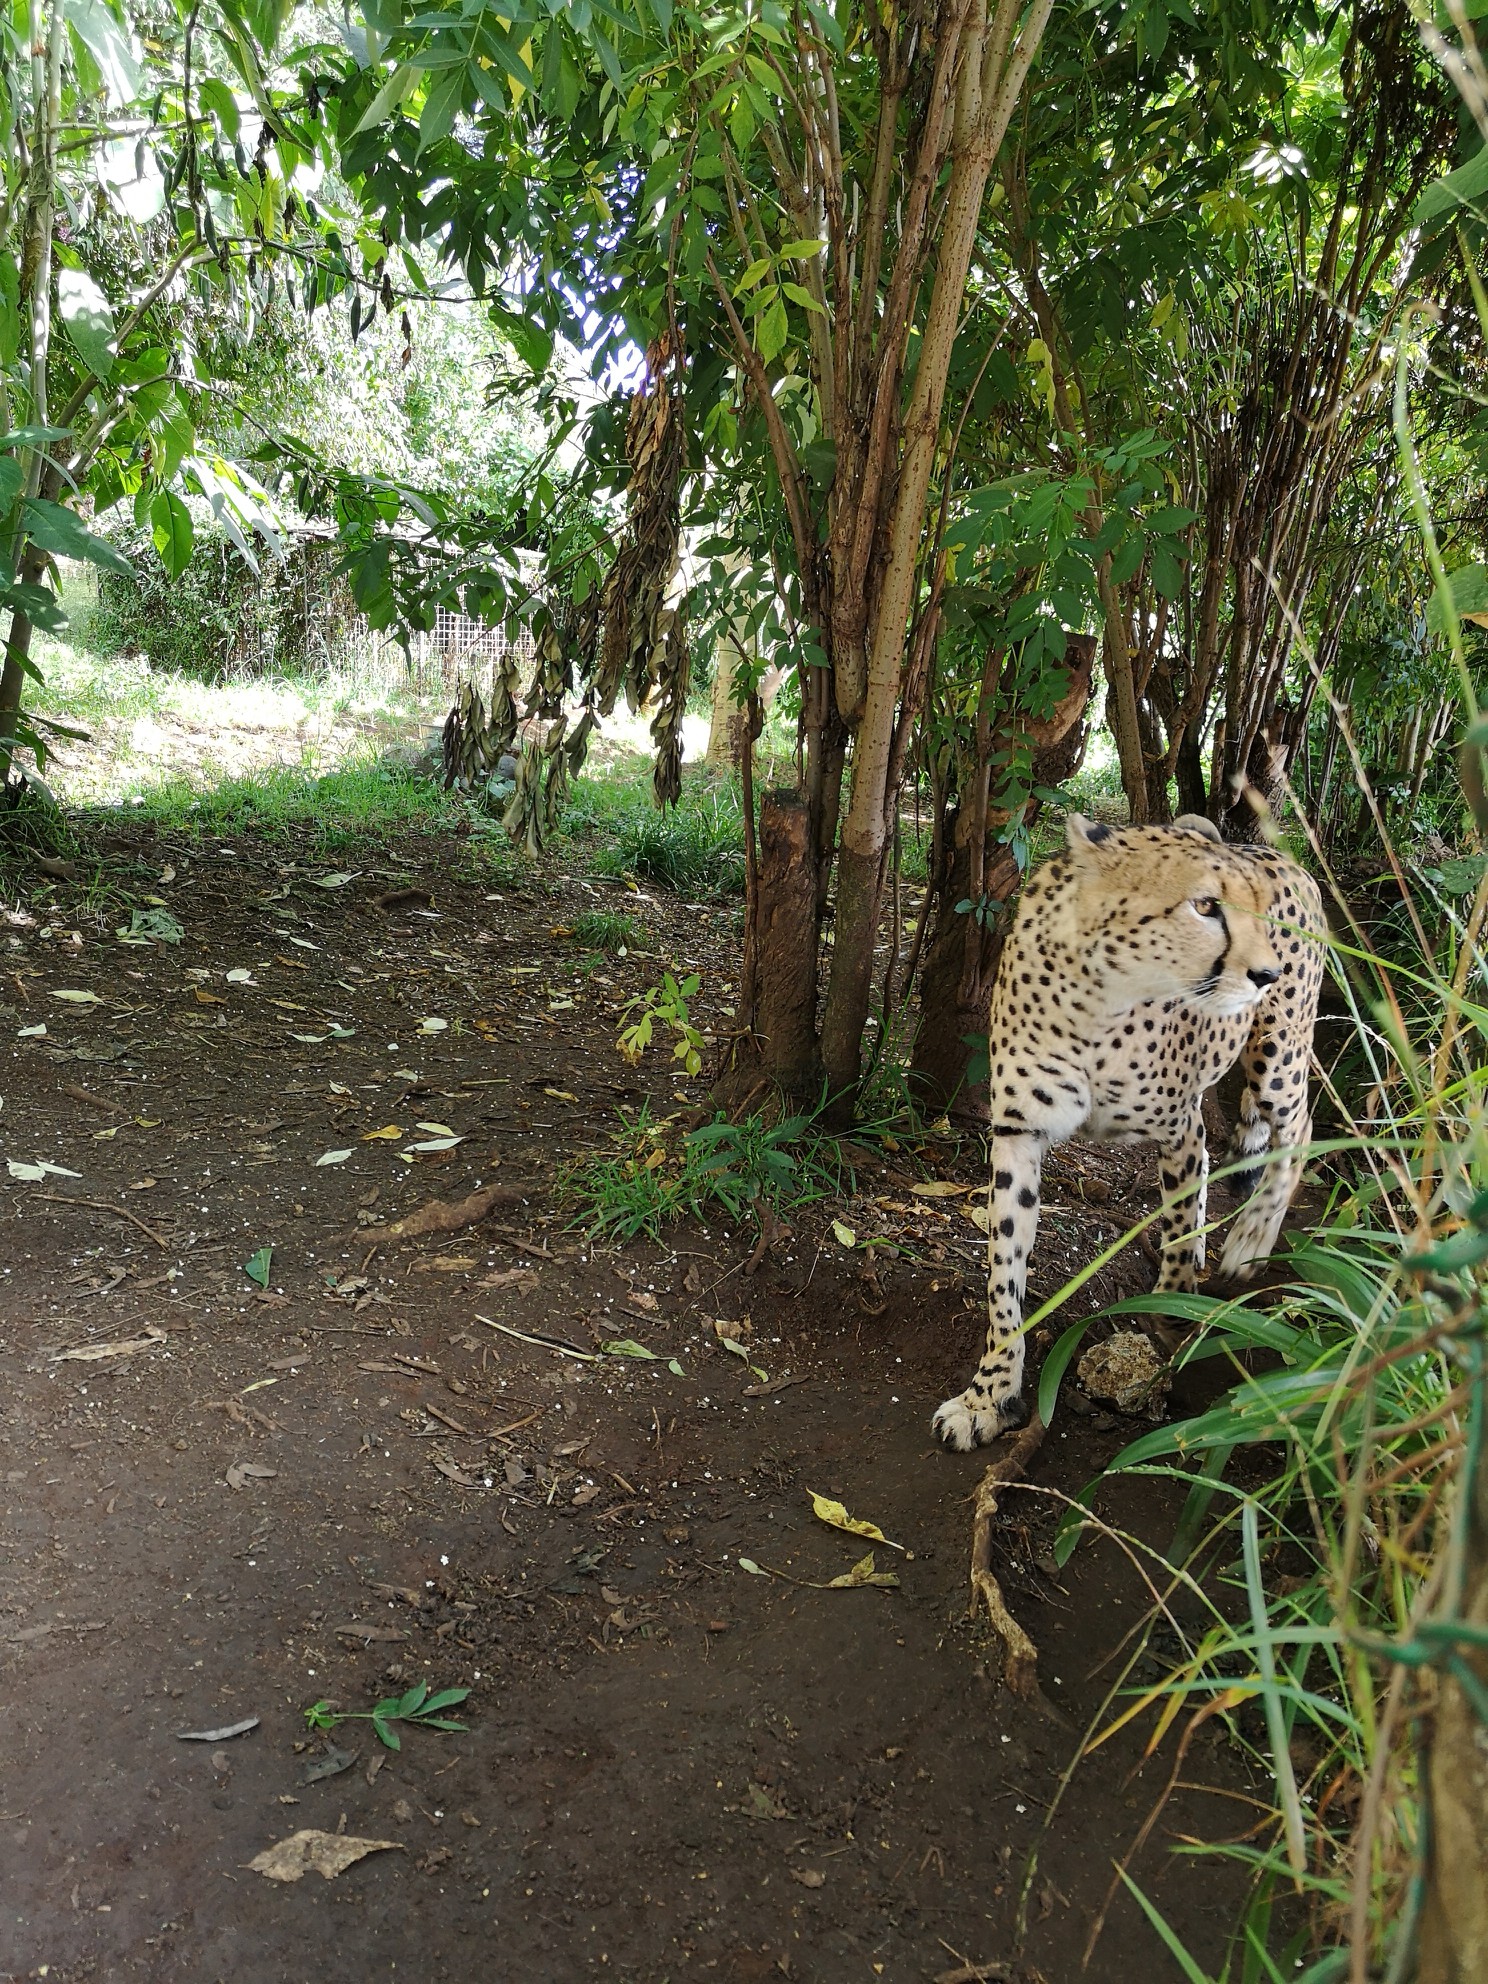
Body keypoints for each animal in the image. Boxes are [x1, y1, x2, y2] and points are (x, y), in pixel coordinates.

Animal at [936, 813, 1333, 1452]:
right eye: (1205, 905)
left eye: (1258, 911)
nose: (1266, 972)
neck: (1096, 999)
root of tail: (1285, 858)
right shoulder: (1018, 1136)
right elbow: (1004, 1275)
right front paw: (989, 1395)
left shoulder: (1180, 1129)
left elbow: (1175, 1234)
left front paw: (1172, 1321)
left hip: (1279, 1052)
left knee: (1298, 1126)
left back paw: (1249, 1240)